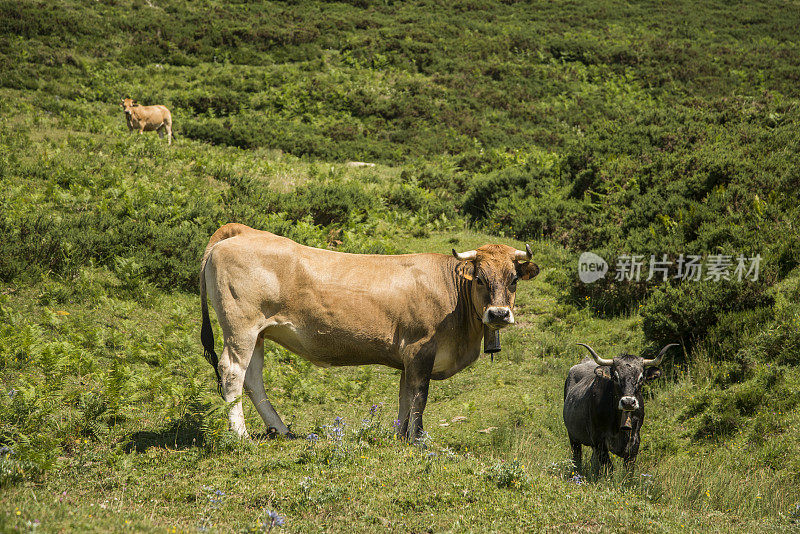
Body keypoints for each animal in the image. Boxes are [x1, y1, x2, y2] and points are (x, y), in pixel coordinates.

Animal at [200, 224, 540, 442]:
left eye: (513, 279)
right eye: (480, 278)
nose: (499, 314)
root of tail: (241, 231)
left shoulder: (408, 358)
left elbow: (405, 397)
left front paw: (400, 436)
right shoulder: (420, 350)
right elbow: (419, 397)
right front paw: (417, 439)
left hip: (258, 333)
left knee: (253, 379)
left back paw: (281, 431)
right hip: (241, 328)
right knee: (232, 373)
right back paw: (241, 435)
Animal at [564, 344, 676, 478]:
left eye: (641, 378)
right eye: (615, 377)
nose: (628, 402)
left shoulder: (635, 440)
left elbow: (629, 469)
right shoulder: (599, 440)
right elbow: (608, 466)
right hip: (573, 437)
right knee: (577, 457)